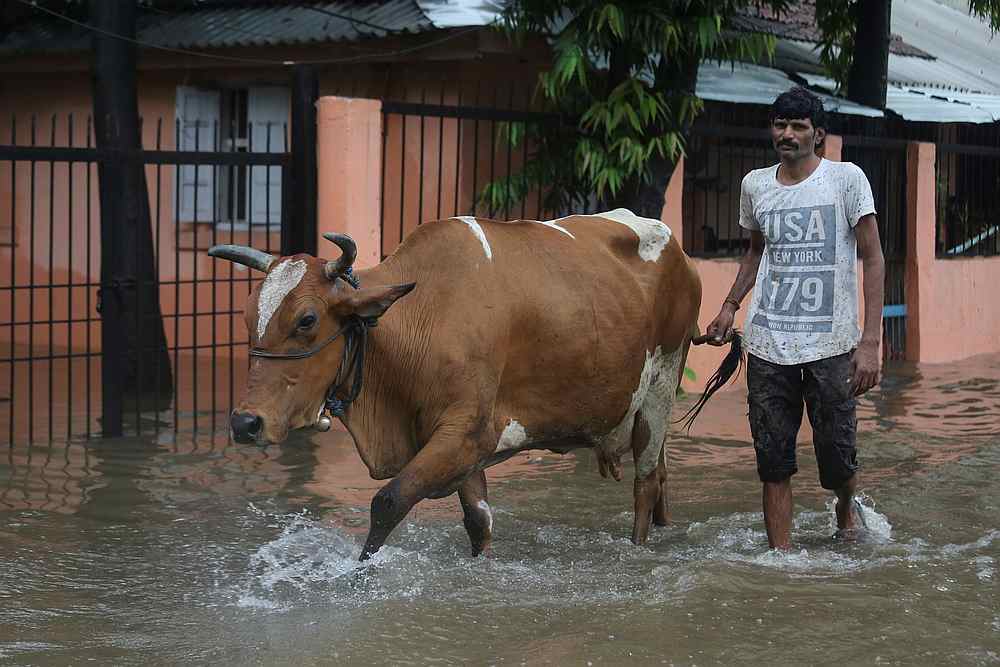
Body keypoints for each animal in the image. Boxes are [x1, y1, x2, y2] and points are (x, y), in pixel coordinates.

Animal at [208, 209, 739, 560]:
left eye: (307, 320)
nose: (246, 423)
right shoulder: (460, 451)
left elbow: (387, 504)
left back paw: (639, 548)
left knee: (645, 484)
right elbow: (477, 521)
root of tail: (677, 248)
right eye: (248, 317)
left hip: (662, 384)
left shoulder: (464, 435)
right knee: (662, 477)